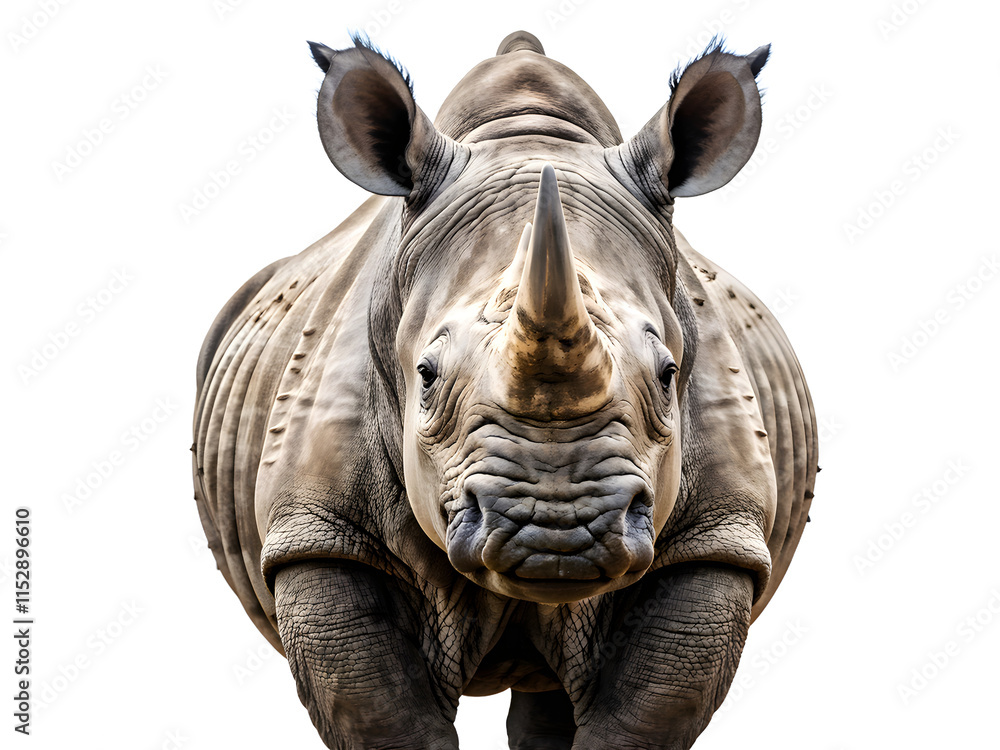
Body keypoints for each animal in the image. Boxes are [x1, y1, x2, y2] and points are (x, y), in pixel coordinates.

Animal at [192, 30, 818, 750]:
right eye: (426, 376)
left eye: (668, 375)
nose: (558, 530)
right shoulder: (321, 539)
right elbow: (388, 721)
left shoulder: (713, 543)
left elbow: (635, 721)